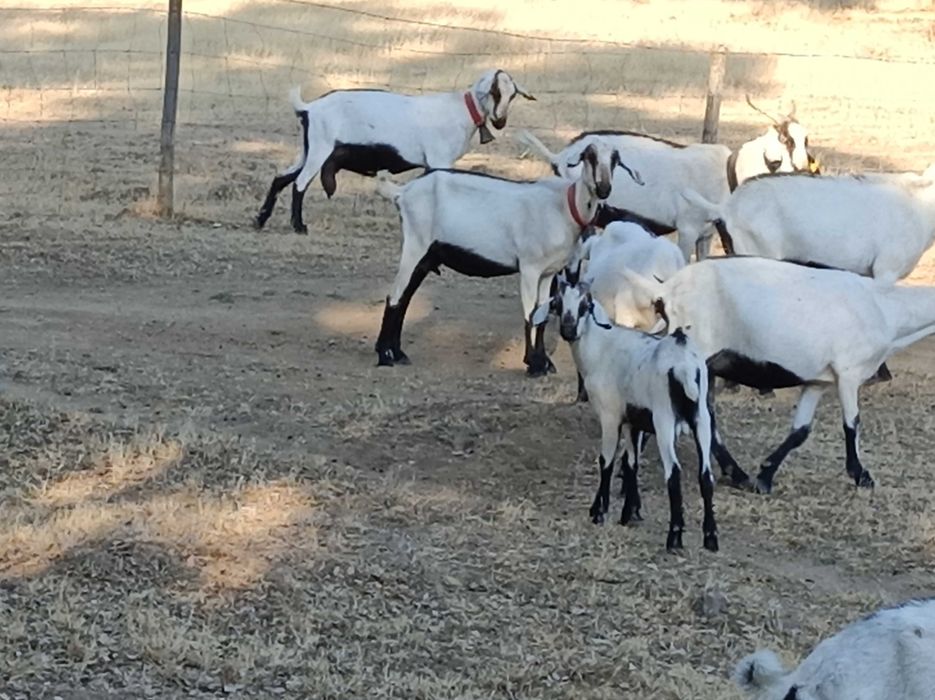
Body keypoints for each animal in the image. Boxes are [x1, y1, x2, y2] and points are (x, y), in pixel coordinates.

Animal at [254, 69, 535, 233]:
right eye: (495, 92)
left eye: (512, 95)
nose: (500, 121)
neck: (462, 110)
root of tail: (309, 108)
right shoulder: (439, 159)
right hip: (320, 148)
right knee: (299, 183)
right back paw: (298, 226)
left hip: (308, 149)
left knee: (281, 178)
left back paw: (260, 220)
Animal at [373, 140, 642, 375]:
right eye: (589, 156)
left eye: (615, 160)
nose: (603, 188)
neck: (564, 207)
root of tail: (402, 192)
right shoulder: (529, 267)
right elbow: (530, 315)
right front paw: (534, 365)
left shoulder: (548, 272)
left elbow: (543, 315)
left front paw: (544, 363)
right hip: (415, 244)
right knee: (394, 296)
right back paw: (385, 356)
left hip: (428, 255)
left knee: (405, 297)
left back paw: (397, 353)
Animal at [517, 104, 816, 261]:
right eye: (786, 141)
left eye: (806, 138)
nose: (807, 170)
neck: (726, 170)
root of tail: (559, 157)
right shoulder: (687, 229)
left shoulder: (706, 234)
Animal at [530, 278, 718, 552]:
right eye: (558, 303)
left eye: (585, 305)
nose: (568, 329)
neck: (600, 347)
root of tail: (684, 364)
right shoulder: (633, 422)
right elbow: (631, 464)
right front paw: (629, 513)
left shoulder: (610, 415)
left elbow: (606, 461)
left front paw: (599, 513)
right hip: (701, 419)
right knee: (705, 475)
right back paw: (711, 538)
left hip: (664, 420)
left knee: (674, 473)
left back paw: (674, 538)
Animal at [622, 256, 935, 494]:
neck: (885, 308)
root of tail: (666, 290)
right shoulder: (848, 372)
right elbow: (852, 424)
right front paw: (862, 476)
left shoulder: (818, 381)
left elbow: (800, 431)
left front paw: (764, 476)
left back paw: (736, 474)